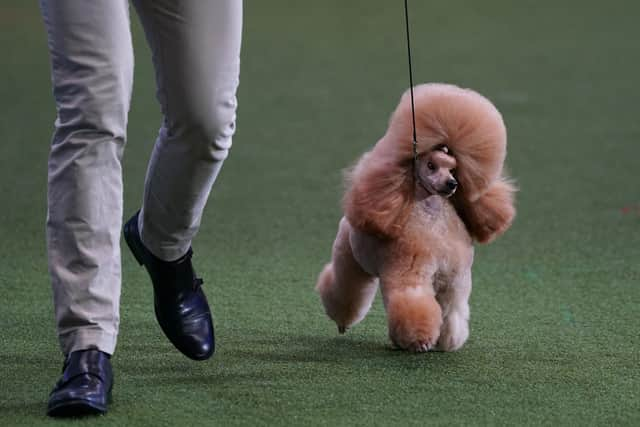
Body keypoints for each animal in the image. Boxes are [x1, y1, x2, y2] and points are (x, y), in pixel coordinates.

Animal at [316, 83, 516, 354]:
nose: (451, 184)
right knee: (344, 285)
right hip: (349, 257)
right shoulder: (410, 277)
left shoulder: (454, 281)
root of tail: (350, 218)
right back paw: (342, 322)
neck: (432, 220)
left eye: (454, 169)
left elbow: (451, 312)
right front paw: (419, 341)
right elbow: (414, 304)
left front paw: (448, 340)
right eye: (431, 165)